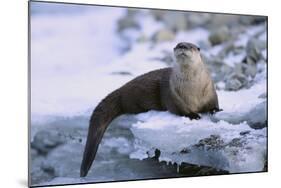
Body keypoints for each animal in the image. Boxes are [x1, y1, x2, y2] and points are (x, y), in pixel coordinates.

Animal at [80, 41, 220, 177]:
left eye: (190, 46)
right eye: (178, 45)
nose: (182, 46)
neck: (192, 89)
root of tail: (122, 90)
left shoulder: (209, 89)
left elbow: (214, 102)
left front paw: (214, 110)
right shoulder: (173, 94)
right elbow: (179, 109)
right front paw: (193, 115)